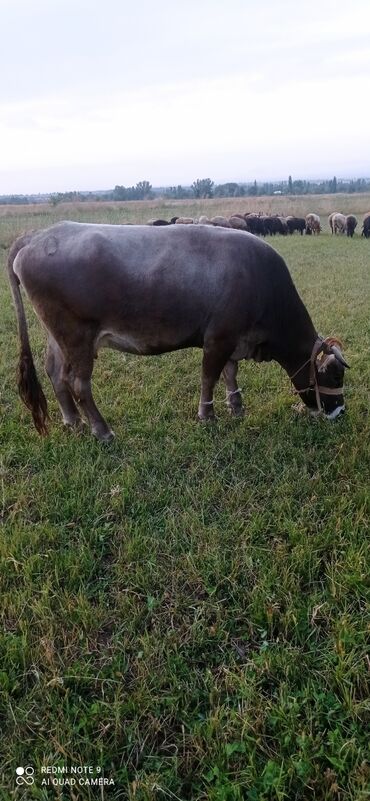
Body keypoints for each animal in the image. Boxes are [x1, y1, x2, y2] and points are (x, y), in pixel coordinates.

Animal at [8, 222, 350, 440]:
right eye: (335, 376)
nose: (340, 412)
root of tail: (37, 235)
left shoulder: (233, 339)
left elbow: (231, 373)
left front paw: (236, 407)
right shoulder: (218, 339)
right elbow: (209, 377)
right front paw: (207, 416)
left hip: (57, 336)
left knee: (55, 373)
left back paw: (73, 422)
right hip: (77, 337)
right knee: (79, 385)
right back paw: (102, 431)